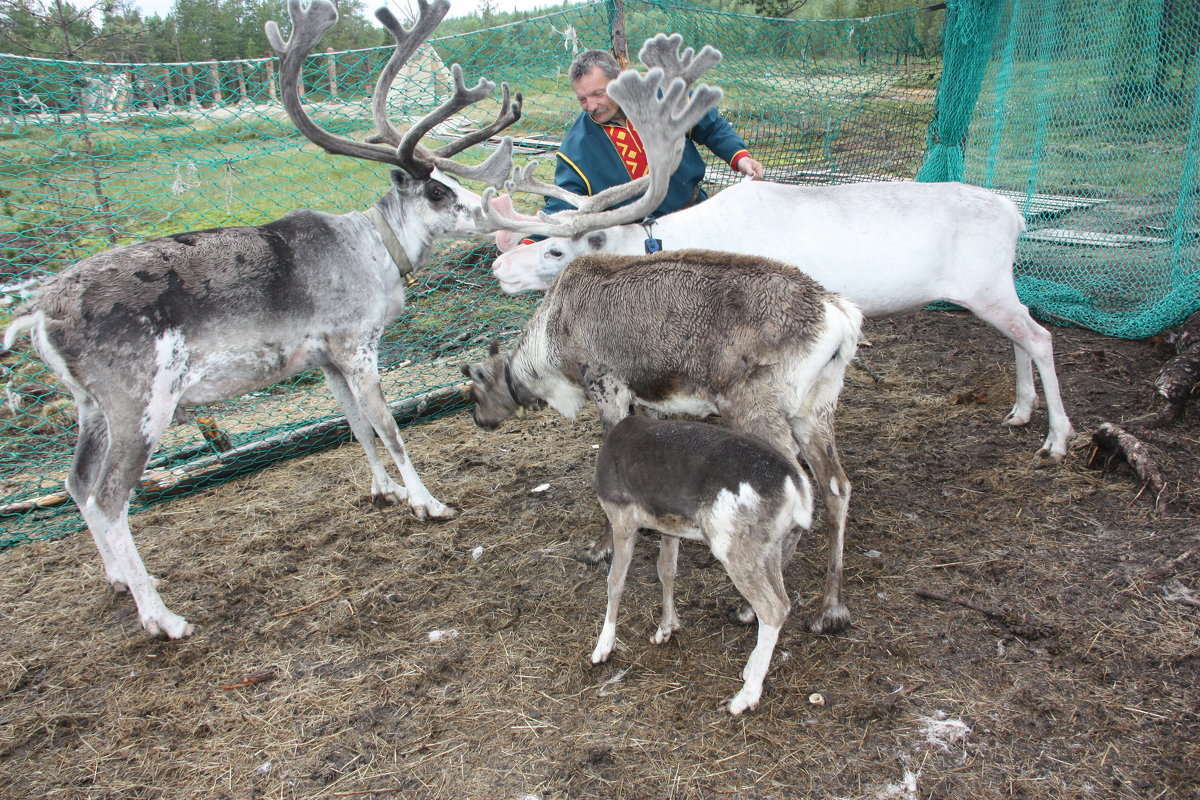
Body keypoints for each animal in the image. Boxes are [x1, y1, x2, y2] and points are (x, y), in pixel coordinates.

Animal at [592, 417, 816, 714]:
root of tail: (798, 488)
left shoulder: (621, 516)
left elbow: (615, 581)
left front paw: (602, 648)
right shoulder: (669, 526)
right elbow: (666, 570)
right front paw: (666, 628)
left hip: (732, 546)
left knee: (774, 607)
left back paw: (745, 697)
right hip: (774, 546)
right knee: (781, 600)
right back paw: (749, 669)